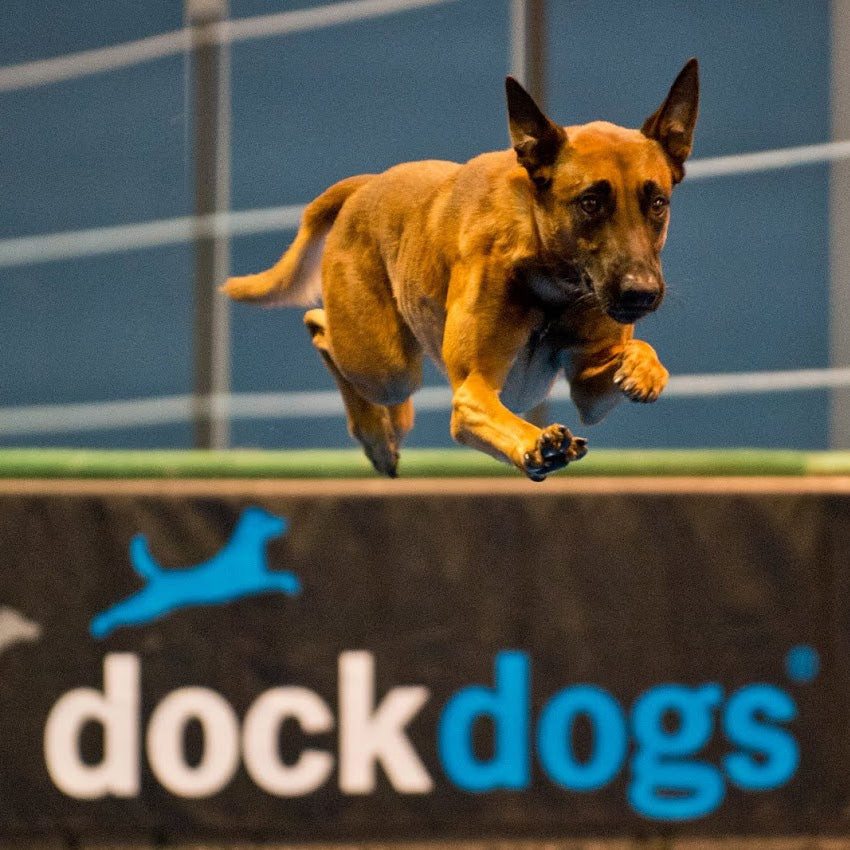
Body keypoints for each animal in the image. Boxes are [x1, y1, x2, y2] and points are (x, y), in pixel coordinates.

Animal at [224, 59, 696, 480]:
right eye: (591, 202)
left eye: (657, 202)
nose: (642, 293)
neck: (549, 282)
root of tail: (366, 185)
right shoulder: (473, 392)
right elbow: (493, 415)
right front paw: (535, 443)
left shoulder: (587, 390)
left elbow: (625, 361)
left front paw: (642, 367)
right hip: (383, 365)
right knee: (320, 328)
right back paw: (377, 434)